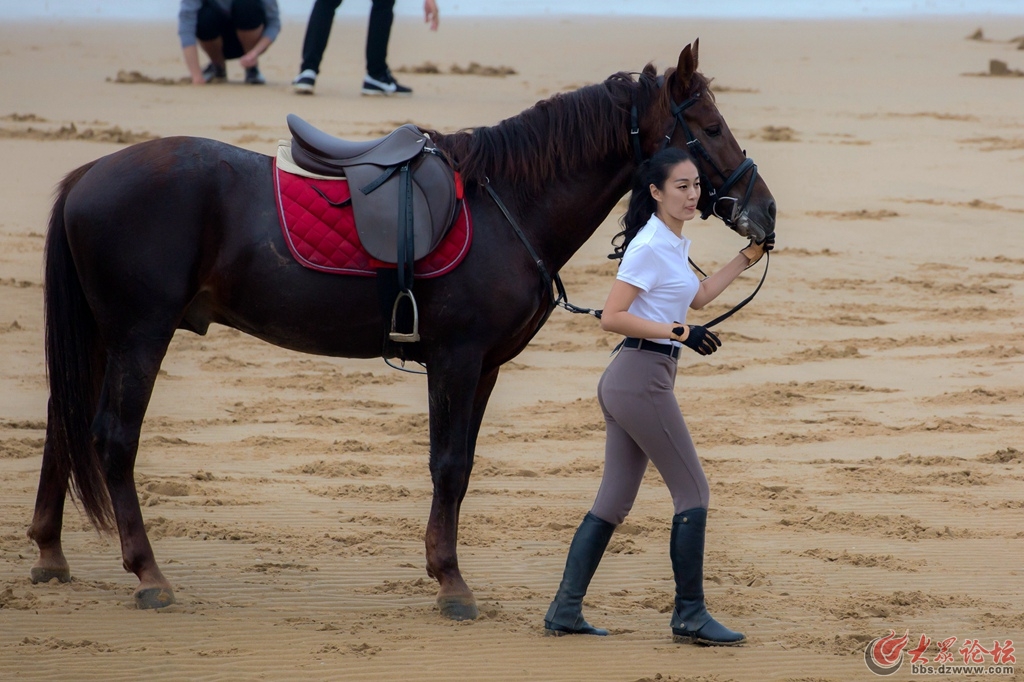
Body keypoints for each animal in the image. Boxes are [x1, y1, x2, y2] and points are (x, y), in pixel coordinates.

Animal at [28, 39, 770, 618]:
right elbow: (447, 464)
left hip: (104, 337)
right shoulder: (457, 359)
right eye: (706, 125)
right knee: (112, 438)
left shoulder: (485, 366)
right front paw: (451, 583)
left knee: (65, 425)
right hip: (139, 334)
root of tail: (88, 174)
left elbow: (461, 464)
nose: (762, 212)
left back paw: (49, 552)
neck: (507, 203)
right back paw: (147, 573)